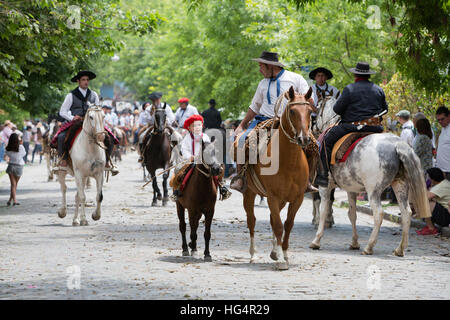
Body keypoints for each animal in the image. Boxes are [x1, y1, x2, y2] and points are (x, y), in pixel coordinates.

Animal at [239, 85, 312, 270]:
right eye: (292, 111)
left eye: (310, 111)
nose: (304, 138)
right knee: (252, 221)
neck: (290, 162)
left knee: (273, 218)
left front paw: (283, 254)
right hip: (249, 193)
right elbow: (278, 226)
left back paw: (274, 251)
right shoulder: (272, 196)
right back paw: (254, 255)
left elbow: (287, 224)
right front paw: (280, 260)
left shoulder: (297, 198)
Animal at [312, 99, 430, 256]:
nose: (313, 125)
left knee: (379, 213)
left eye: (318, 109)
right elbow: (352, 213)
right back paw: (400, 249)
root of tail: (397, 144)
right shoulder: (351, 189)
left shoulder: (325, 187)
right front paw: (354, 242)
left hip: (373, 191)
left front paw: (316, 240)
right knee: (406, 213)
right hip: (400, 185)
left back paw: (369, 246)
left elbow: (324, 210)